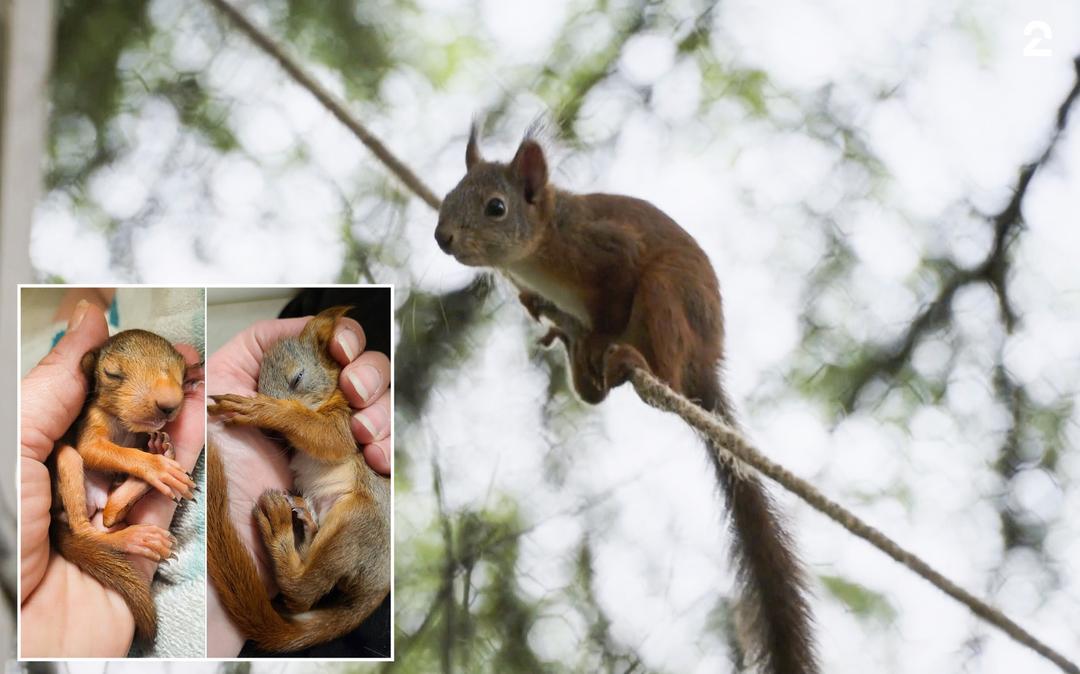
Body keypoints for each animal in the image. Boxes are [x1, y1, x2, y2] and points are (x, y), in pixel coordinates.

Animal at [50, 330, 199, 643]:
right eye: (112, 373)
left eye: (181, 374)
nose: (169, 403)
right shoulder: (90, 424)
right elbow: (97, 449)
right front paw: (157, 468)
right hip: (67, 465)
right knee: (86, 528)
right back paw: (135, 537)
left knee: (110, 514)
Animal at [207, 306, 393, 652]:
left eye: (297, 377)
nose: (265, 430)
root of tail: (377, 587)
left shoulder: (347, 425)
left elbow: (325, 434)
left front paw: (264, 409)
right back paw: (303, 527)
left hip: (355, 523)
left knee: (301, 594)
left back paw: (279, 528)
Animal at [434, 127, 812, 674]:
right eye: (448, 195)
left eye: (496, 208)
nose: (442, 237)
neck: (542, 244)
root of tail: (705, 362)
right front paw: (538, 304)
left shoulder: (609, 250)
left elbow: (614, 298)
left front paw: (597, 336)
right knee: (595, 395)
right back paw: (576, 357)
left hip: (667, 293)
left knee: (664, 369)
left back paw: (623, 358)